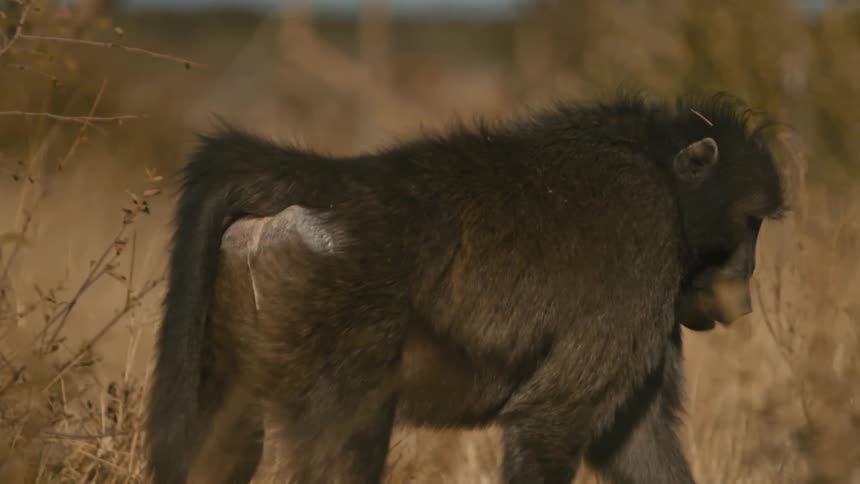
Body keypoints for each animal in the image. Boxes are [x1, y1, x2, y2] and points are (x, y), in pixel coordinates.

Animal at [145, 92, 786, 484]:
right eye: (749, 224)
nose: (746, 293)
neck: (662, 176)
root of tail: (335, 180)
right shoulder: (643, 248)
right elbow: (551, 423)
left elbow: (635, 443)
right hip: (334, 308)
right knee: (346, 445)